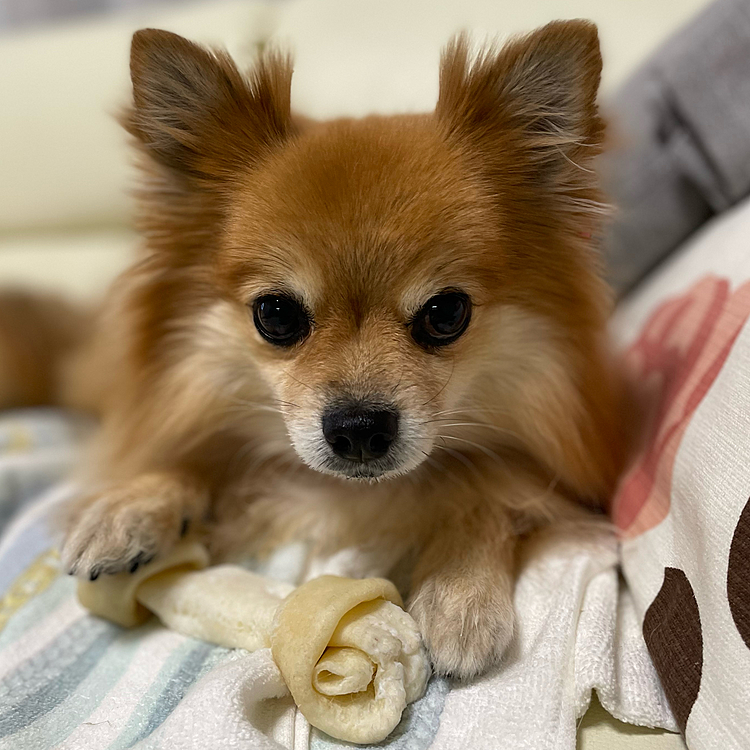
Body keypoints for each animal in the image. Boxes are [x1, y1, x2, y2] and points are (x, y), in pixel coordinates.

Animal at [0, 20, 636, 680]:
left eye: (446, 314)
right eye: (276, 315)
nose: (358, 429)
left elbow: (488, 487)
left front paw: (461, 590)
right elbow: (185, 454)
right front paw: (130, 505)